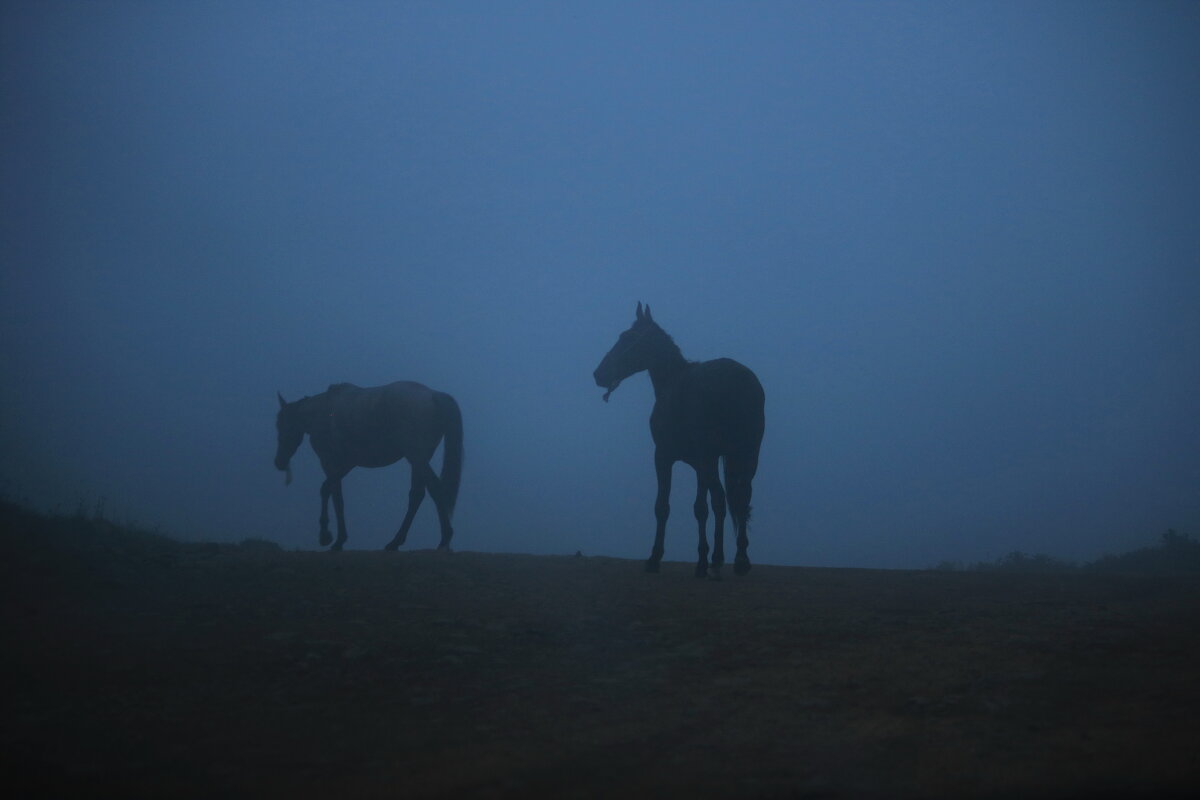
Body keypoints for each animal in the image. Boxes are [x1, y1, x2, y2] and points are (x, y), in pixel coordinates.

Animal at [274, 381, 460, 551]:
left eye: (281, 425)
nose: (279, 462)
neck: (322, 412)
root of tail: (433, 395)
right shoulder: (346, 464)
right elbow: (330, 491)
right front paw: (332, 536)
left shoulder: (329, 462)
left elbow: (334, 495)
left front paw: (332, 537)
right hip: (418, 460)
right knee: (417, 495)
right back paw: (397, 541)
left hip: (417, 458)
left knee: (434, 488)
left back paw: (444, 538)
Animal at [592, 303, 768, 578]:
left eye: (627, 337)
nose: (599, 374)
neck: (672, 380)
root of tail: (739, 382)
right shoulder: (700, 464)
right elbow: (703, 508)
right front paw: (704, 558)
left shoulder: (664, 456)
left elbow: (664, 506)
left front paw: (656, 557)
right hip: (746, 455)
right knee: (740, 499)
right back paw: (738, 560)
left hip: (713, 457)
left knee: (722, 500)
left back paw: (720, 559)